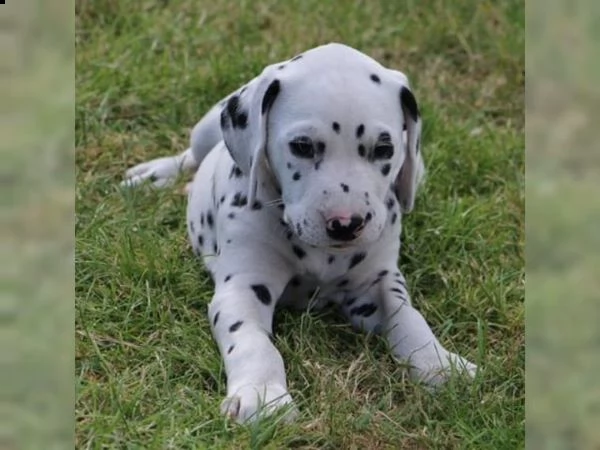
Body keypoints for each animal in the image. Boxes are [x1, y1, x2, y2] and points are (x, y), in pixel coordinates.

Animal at [123, 43, 478, 426]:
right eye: (303, 146)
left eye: (384, 149)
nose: (346, 223)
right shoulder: (244, 288)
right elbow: (253, 342)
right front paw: (263, 395)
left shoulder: (377, 283)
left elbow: (409, 317)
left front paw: (439, 364)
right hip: (205, 129)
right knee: (190, 155)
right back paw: (154, 176)